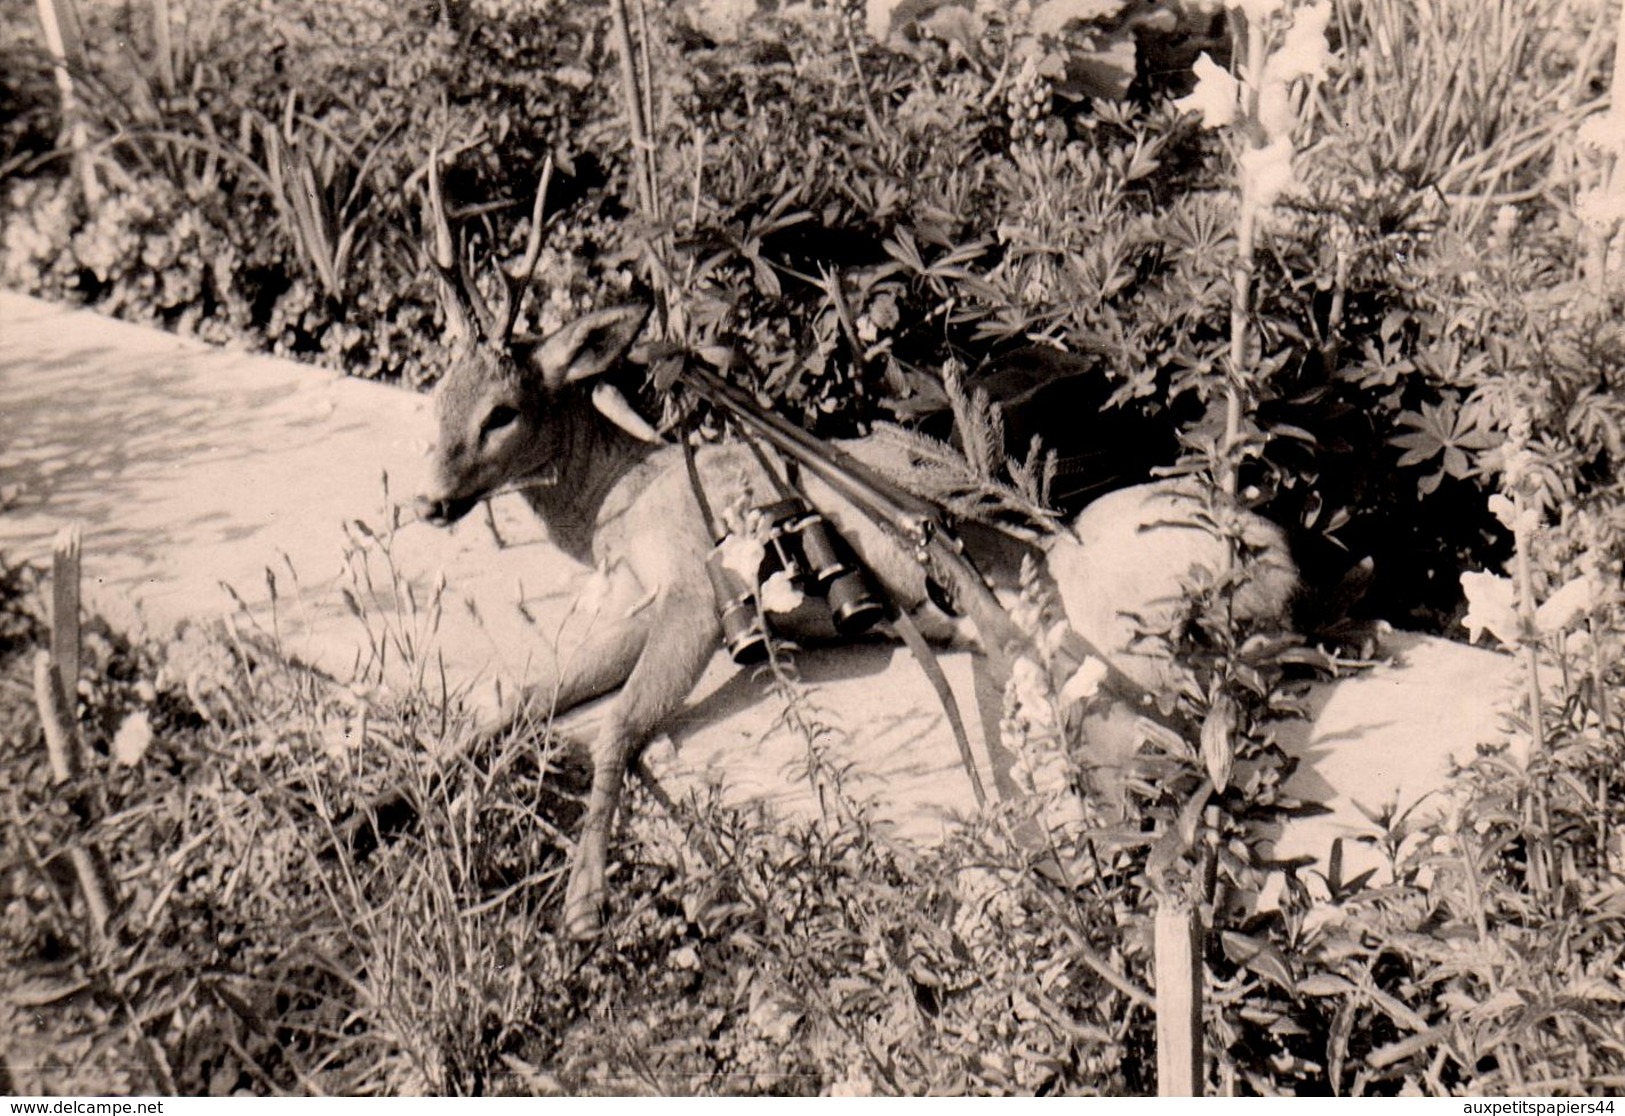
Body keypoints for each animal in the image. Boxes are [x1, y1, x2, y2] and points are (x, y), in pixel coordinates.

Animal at [416, 300, 1293, 935]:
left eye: (501, 411)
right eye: (435, 400)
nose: (429, 503)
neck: (613, 507)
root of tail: (1274, 565)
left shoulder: (697, 594)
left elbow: (618, 726)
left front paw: (584, 901)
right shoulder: (640, 607)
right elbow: (525, 696)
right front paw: (418, 789)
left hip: (1114, 679)